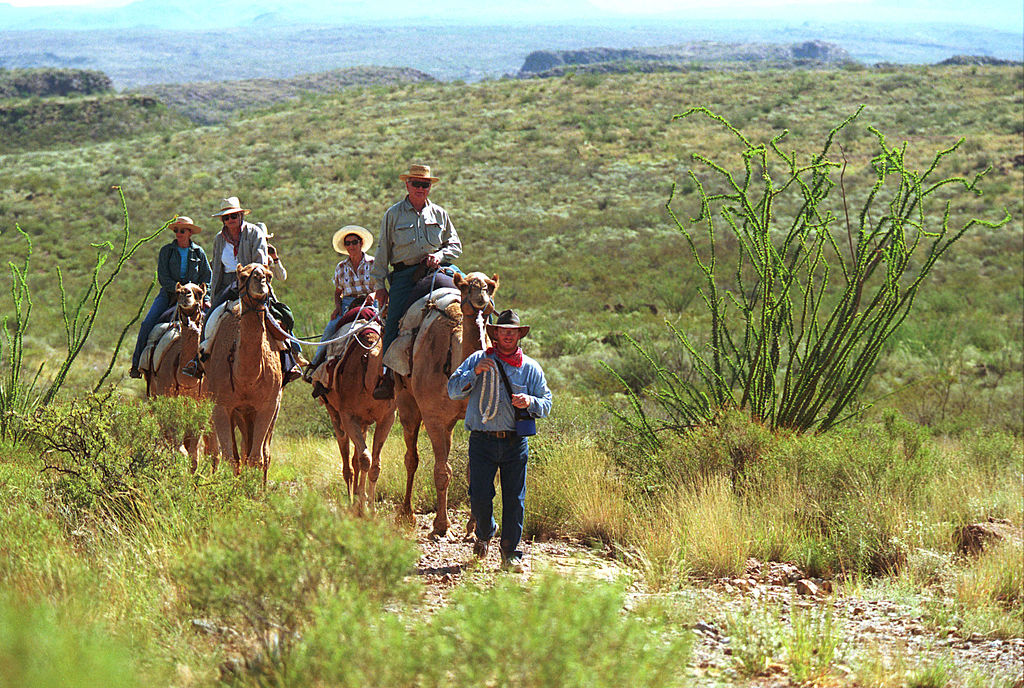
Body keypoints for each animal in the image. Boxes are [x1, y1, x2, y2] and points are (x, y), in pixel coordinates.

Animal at [144, 282, 213, 471]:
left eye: (199, 293)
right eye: (178, 291)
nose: (185, 294)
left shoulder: (201, 405)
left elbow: (193, 451)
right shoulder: (166, 398)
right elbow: (177, 442)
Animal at [205, 263, 283, 487]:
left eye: (269, 276)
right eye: (242, 276)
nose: (260, 280)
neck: (247, 379)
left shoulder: (267, 405)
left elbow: (257, 457)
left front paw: (254, 492)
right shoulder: (221, 406)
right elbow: (231, 457)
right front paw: (233, 490)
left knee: (261, 453)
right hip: (240, 413)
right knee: (240, 451)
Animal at [319, 317, 396, 512]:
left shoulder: (388, 417)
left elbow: (375, 464)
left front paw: (372, 509)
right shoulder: (348, 415)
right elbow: (365, 459)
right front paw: (361, 508)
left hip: (364, 422)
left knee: (355, 459)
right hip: (334, 412)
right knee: (346, 456)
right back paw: (351, 500)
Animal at [396, 270, 498, 537]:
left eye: (490, 286)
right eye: (465, 286)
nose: (481, 298)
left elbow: (475, 471)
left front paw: (474, 527)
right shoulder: (434, 417)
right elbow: (442, 471)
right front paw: (441, 526)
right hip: (406, 401)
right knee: (411, 457)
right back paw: (406, 514)